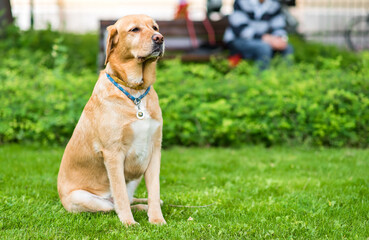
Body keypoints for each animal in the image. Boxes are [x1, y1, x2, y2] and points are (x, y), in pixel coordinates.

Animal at [56, 14, 165, 225]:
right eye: (134, 29)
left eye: (155, 27)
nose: (160, 38)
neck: (135, 93)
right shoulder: (113, 153)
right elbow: (120, 194)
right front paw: (129, 223)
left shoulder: (155, 149)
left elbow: (154, 191)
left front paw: (157, 219)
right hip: (84, 198)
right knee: (113, 205)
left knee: (131, 199)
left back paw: (144, 205)